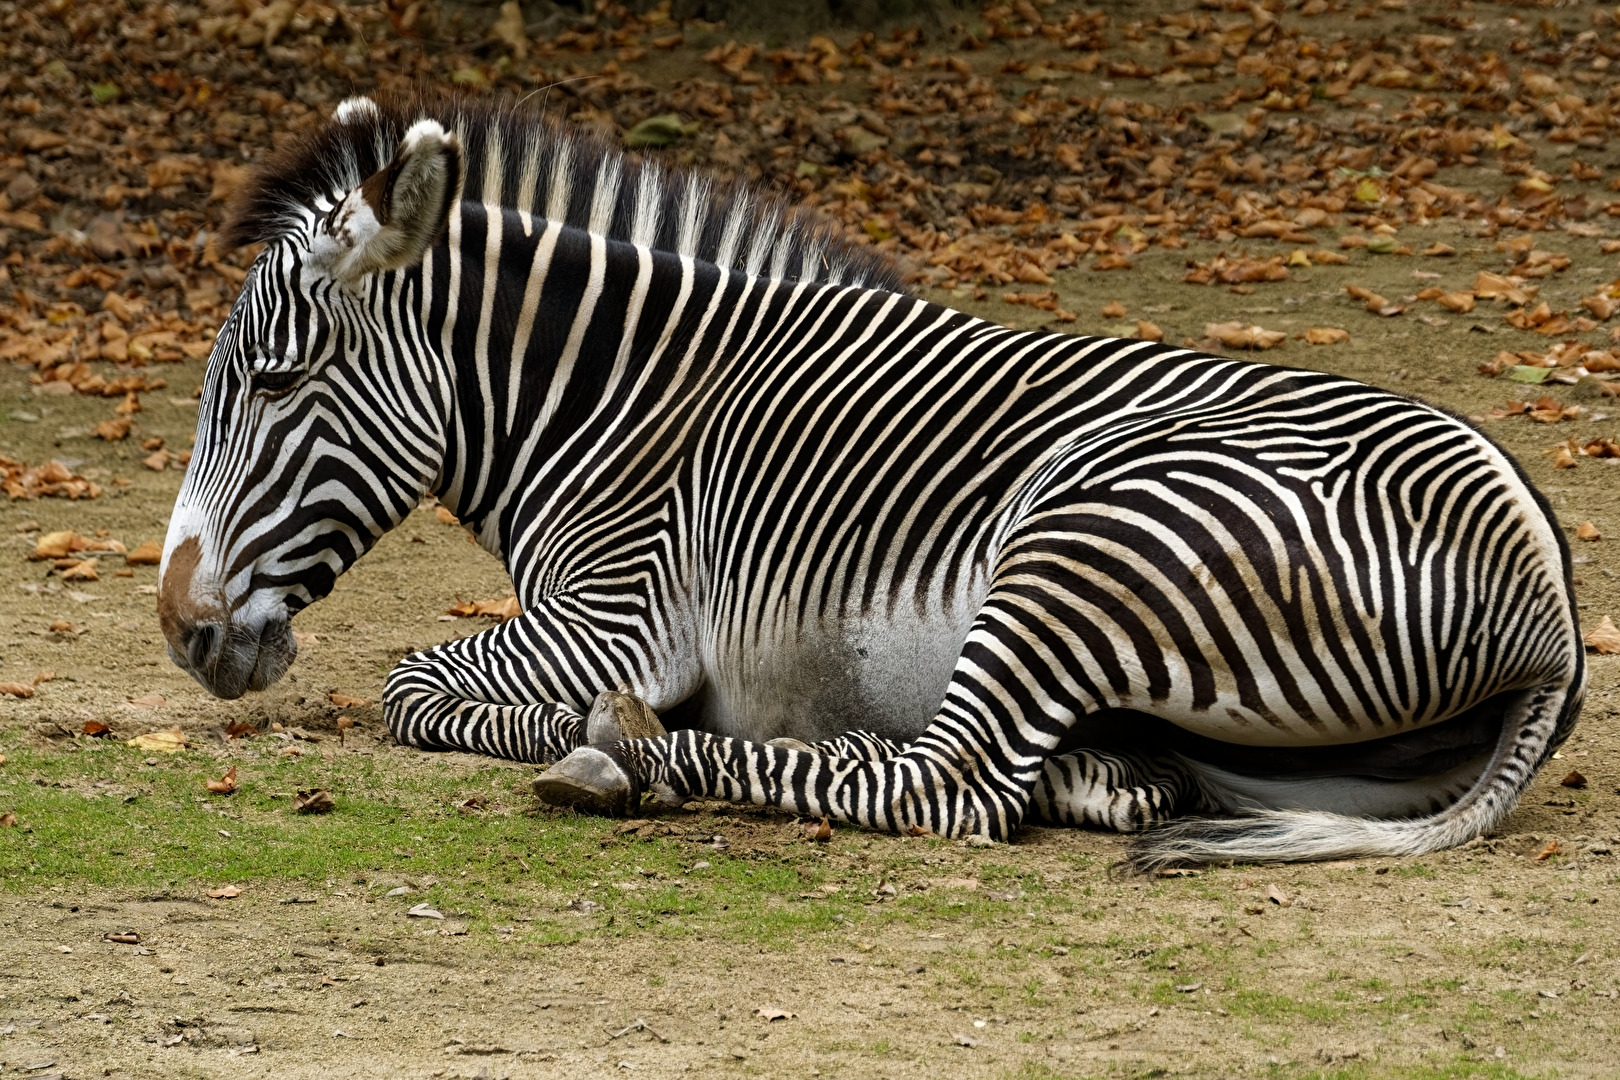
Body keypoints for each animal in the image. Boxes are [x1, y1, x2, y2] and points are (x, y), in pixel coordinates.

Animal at [157, 92, 1584, 869]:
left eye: (272, 383)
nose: (175, 626)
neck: (613, 401)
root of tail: (1552, 599)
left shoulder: (615, 620)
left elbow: (414, 688)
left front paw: (604, 730)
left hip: (1078, 534)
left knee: (950, 785)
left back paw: (636, 758)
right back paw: (1102, 772)